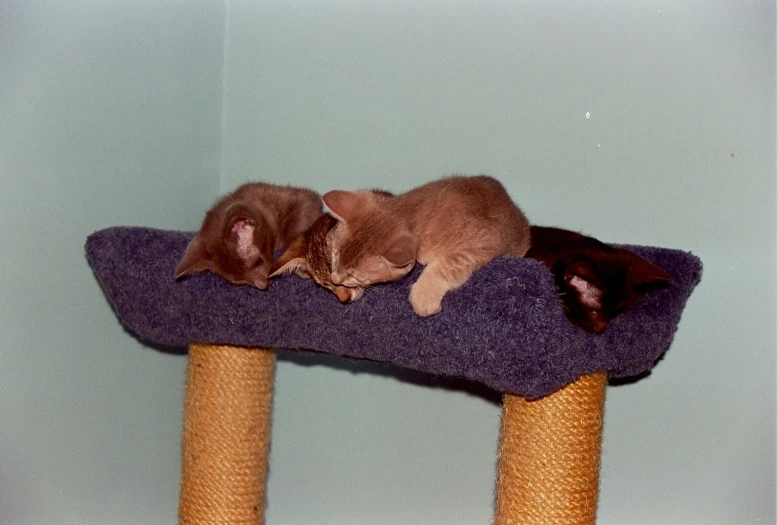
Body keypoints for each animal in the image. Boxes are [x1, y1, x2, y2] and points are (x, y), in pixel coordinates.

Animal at [320, 175, 528, 316]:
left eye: (353, 274)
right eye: (335, 255)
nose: (334, 278)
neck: (409, 215)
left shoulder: (488, 239)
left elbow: (449, 263)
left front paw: (423, 295)